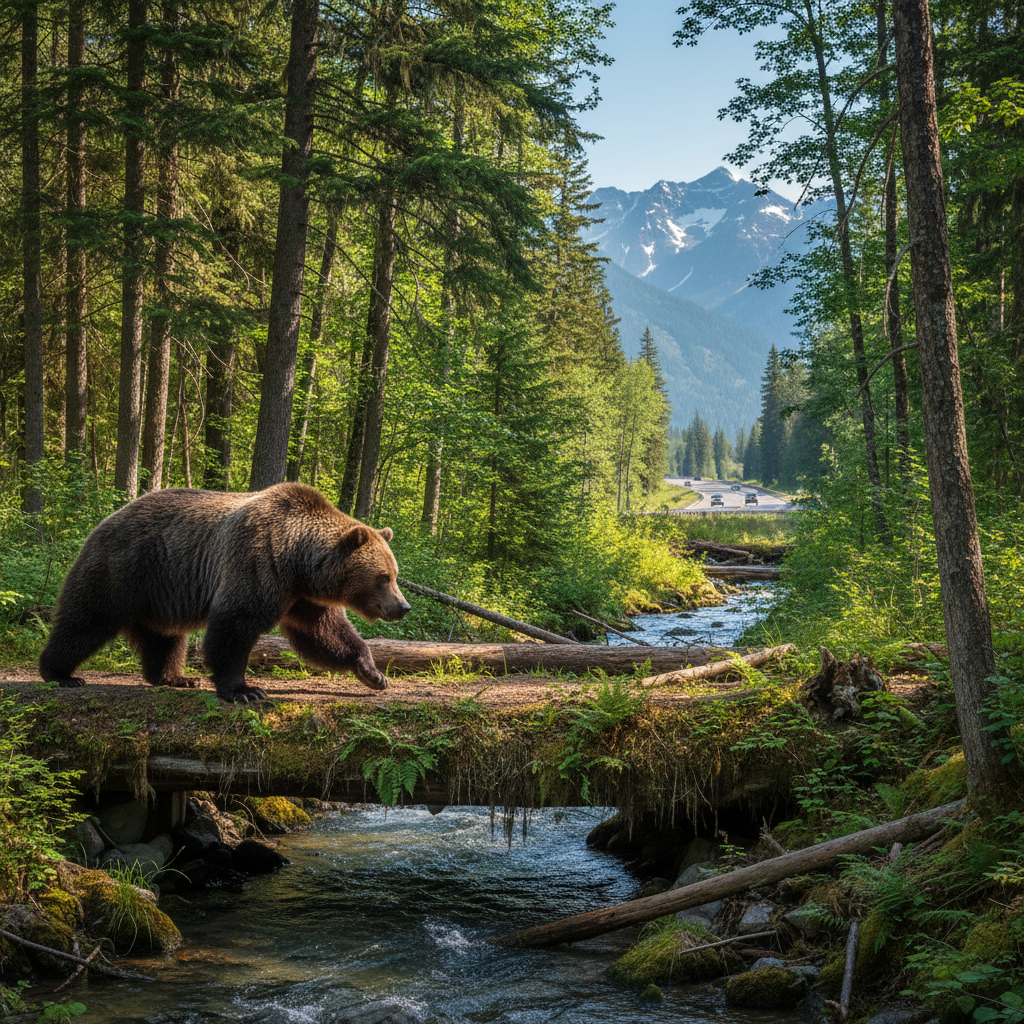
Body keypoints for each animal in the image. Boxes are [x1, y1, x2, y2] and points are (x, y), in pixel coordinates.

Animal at [38, 482, 411, 703]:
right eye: (383, 577)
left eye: (395, 575)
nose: (403, 607)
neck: (297, 559)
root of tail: (106, 518)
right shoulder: (259, 561)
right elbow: (235, 622)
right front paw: (245, 690)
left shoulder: (301, 596)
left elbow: (323, 633)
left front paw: (374, 674)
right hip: (126, 566)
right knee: (88, 618)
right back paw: (60, 674)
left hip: (161, 590)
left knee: (164, 635)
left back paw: (174, 677)